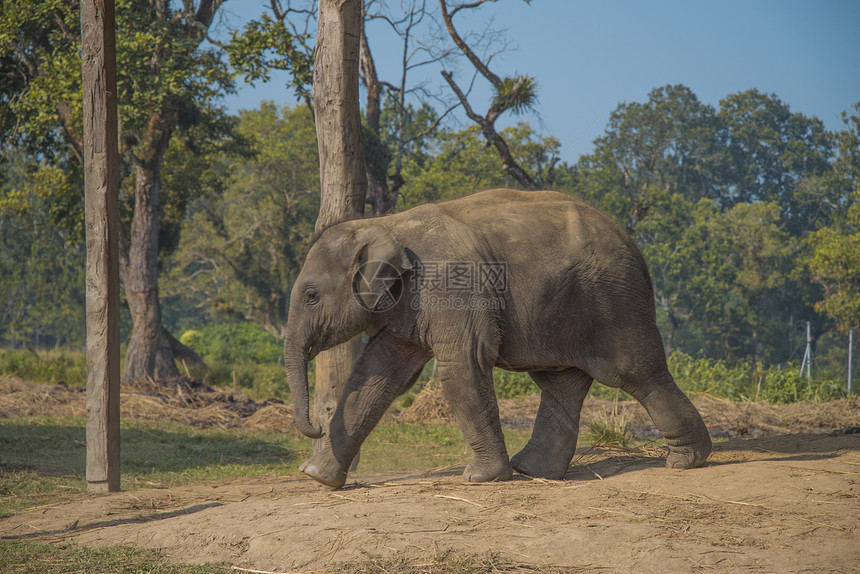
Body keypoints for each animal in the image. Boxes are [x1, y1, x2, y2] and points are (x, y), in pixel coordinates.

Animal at [284, 190, 712, 490]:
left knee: (634, 372)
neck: (385, 223)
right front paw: (317, 477)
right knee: (561, 381)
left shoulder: (453, 288)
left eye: (311, 295)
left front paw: (480, 479)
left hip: (614, 302)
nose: (315, 426)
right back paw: (533, 470)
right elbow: (377, 376)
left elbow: (462, 366)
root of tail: (632, 242)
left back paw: (687, 460)